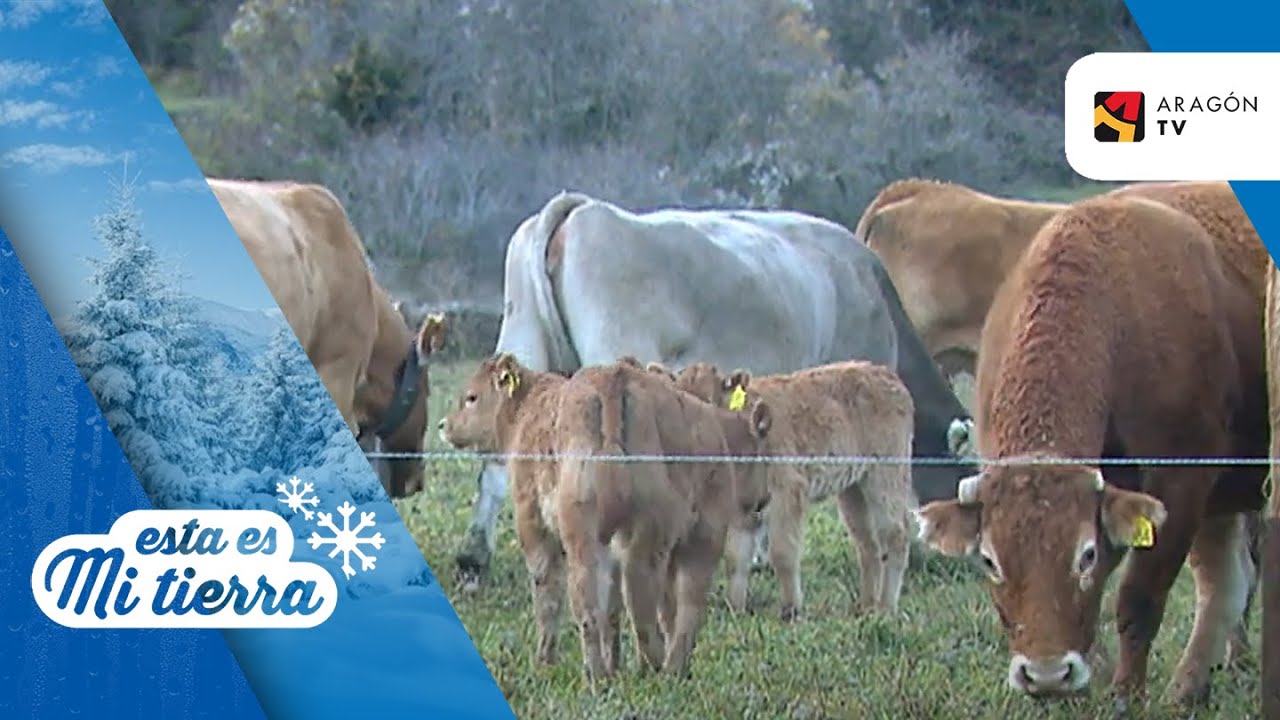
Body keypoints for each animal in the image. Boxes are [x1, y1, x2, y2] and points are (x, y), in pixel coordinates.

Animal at [437, 353, 772, 684]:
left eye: (471, 397)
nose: (443, 425)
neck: (530, 408)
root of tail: (612, 379)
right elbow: (615, 606)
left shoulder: (532, 521)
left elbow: (547, 592)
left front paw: (545, 662)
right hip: (692, 537)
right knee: (678, 602)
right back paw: (666, 668)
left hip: (589, 535)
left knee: (596, 599)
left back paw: (608, 673)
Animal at [657, 360, 917, 622]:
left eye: (709, 403)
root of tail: (886, 375)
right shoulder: (741, 509)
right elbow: (736, 558)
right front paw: (735, 609)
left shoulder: (787, 493)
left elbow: (783, 552)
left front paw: (791, 610)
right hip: (853, 490)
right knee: (867, 544)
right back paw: (866, 607)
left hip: (886, 477)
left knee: (896, 533)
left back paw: (885, 609)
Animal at [915, 194, 1266, 706]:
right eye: (989, 560)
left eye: (1084, 555)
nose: (1044, 675)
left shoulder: (1180, 487)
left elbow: (1138, 599)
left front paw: (1125, 694)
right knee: (1226, 581)